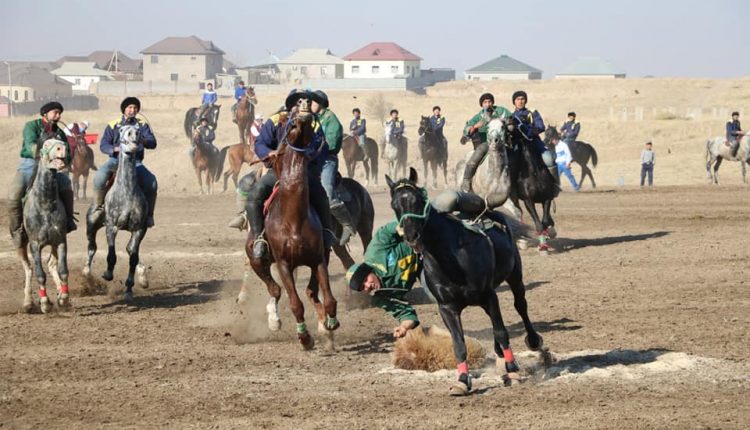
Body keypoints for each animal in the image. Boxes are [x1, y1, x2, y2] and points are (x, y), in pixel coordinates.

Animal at [16, 139, 72, 314]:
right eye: (46, 144)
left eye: (61, 141)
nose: (62, 149)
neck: (45, 205)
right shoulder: (35, 244)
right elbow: (40, 274)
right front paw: (45, 303)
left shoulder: (60, 241)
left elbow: (63, 270)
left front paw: (63, 298)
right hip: (20, 243)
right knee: (29, 269)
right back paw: (28, 302)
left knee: (52, 264)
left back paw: (60, 293)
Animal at [85, 122, 150, 300]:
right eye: (122, 130)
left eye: (138, 131)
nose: (133, 142)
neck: (127, 192)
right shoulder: (111, 227)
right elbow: (111, 255)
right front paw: (107, 274)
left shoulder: (139, 229)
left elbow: (133, 257)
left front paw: (129, 289)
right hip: (92, 224)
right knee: (92, 247)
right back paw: (86, 273)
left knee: (130, 250)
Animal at [247, 102, 340, 352]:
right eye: (289, 124)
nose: (305, 107)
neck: (293, 219)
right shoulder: (284, 264)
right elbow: (295, 303)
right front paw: (305, 338)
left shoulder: (318, 259)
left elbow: (328, 298)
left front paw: (330, 325)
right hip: (256, 260)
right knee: (275, 290)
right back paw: (274, 320)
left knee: (310, 292)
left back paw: (323, 326)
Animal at [388, 168, 548, 396]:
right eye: (394, 205)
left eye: (417, 201)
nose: (411, 235)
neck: (451, 259)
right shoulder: (447, 308)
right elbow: (459, 344)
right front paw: (462, 381)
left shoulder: (489, 296)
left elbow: (502, 332)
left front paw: (513, 371)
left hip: (514, 275)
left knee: (520, 306)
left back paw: (532, 342)